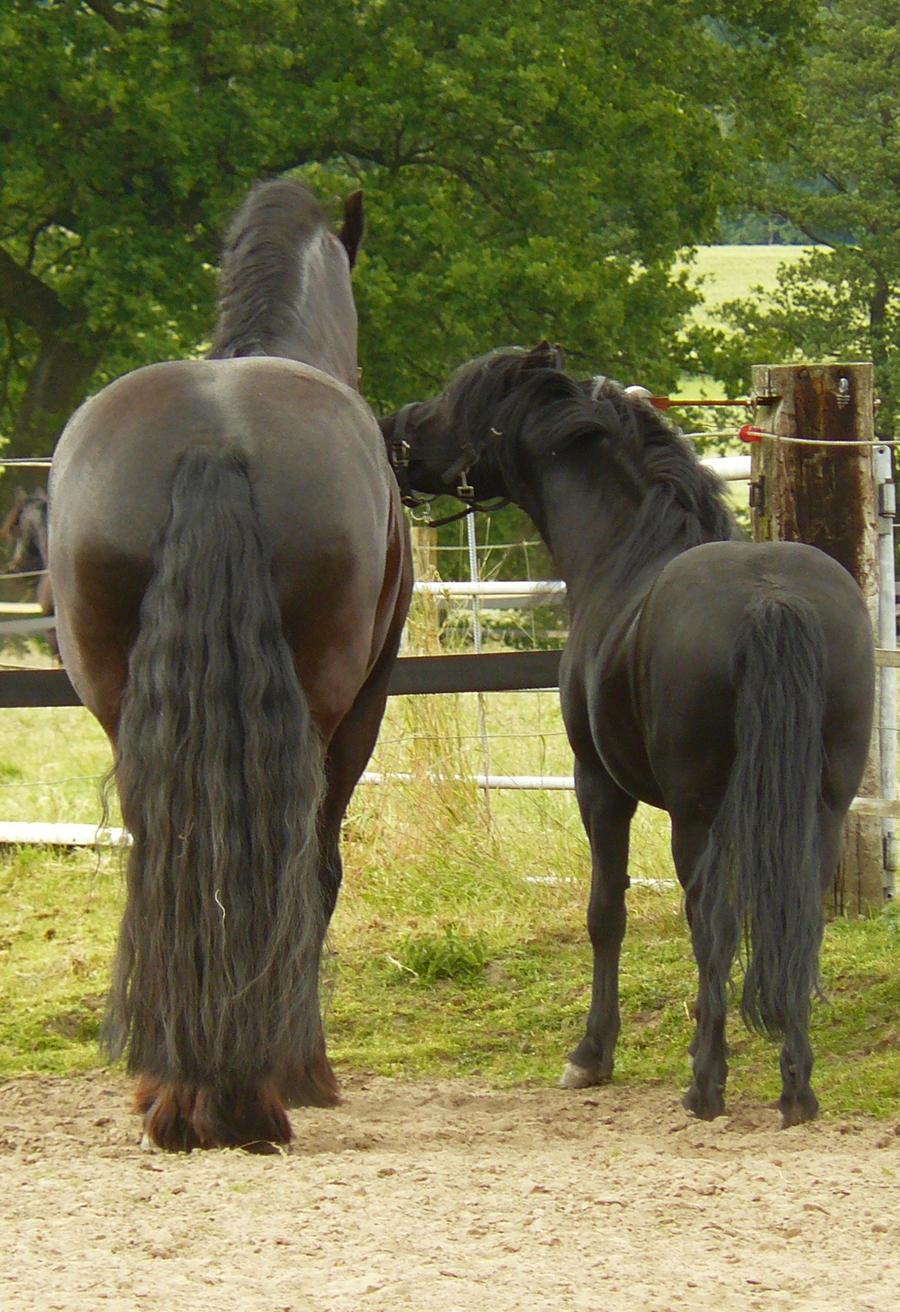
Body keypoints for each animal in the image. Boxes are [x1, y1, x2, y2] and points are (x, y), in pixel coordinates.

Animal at [50, 177, 417, 1149]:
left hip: (121, 709)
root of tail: (214, 444)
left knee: (166, 861)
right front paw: (310, 1071)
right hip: (325, 713)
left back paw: (176, 1086)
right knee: (292, 870)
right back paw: (258, 1088)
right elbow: (319, 874)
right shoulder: (363, 712)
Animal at [383, 346, 876, 1128]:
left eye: (455, 400)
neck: (624, 553)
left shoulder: (598, 786)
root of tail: (772, 600)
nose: (392, 433)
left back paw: (705, 1083)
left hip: (698, 817)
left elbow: (605, 914)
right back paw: (797, 1087)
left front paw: (591, 1054)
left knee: (711, 924)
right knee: (798, 921)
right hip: (821, 809)